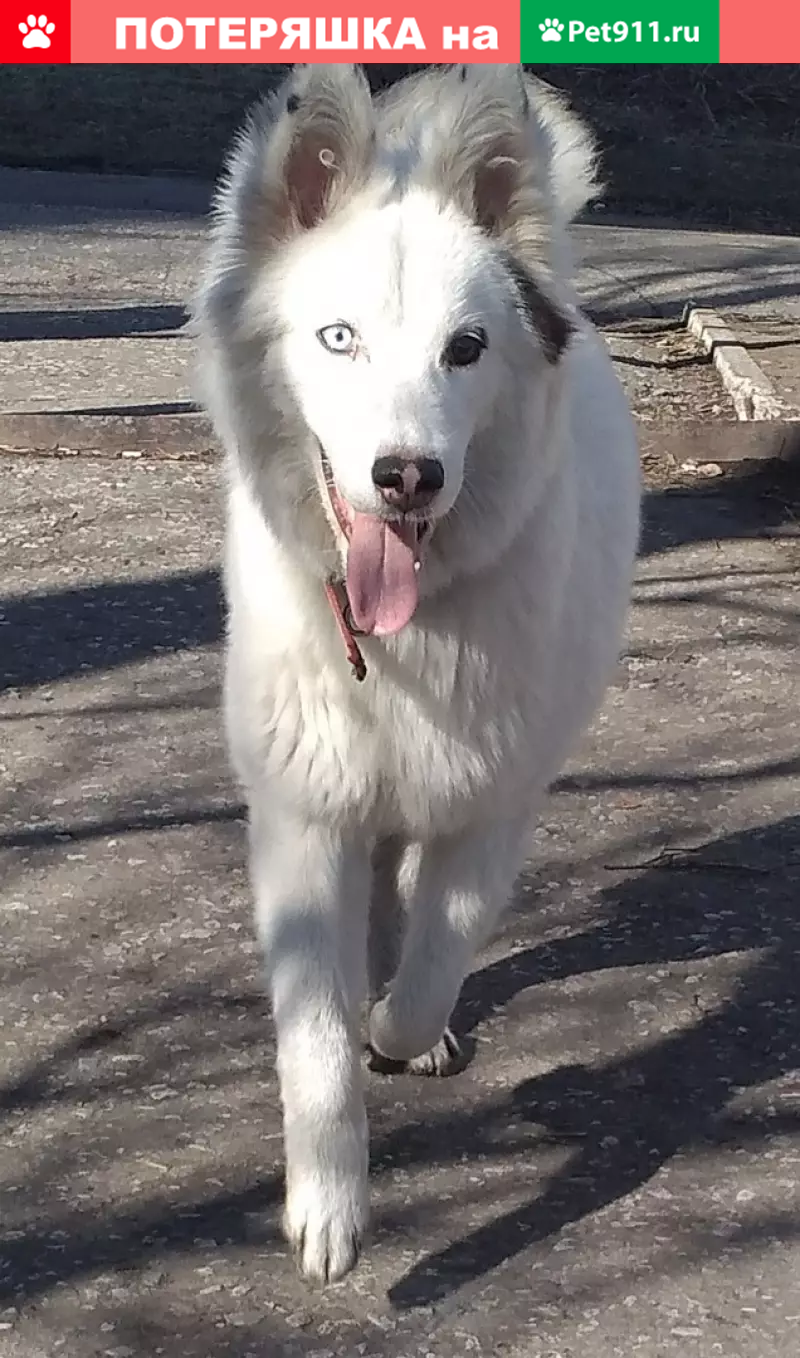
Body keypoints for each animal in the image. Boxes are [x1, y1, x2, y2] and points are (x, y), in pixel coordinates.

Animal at [191, 63, 635, 1281]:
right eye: (337, 338)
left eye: (465, 349)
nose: (406, 476)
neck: (398, 639)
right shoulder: (303, 817)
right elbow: (316, 1039)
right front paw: (329, 1205)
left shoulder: (489, 806)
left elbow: (431, 960)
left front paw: (403, 1032)